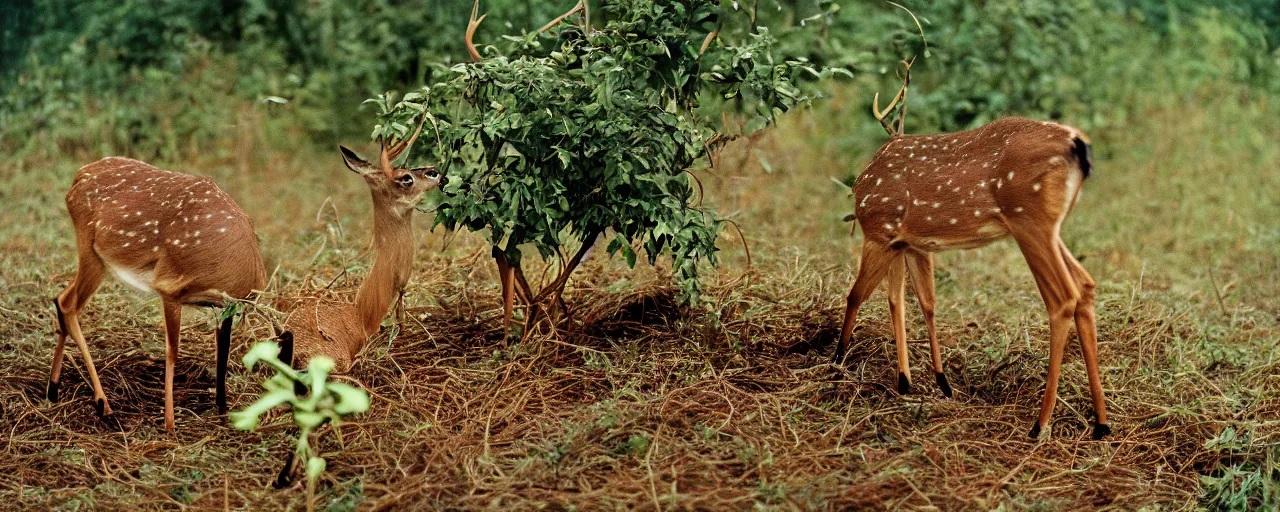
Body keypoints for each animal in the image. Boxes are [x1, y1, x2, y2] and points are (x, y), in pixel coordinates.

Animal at [49, 156, 270, 432]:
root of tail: (78, 176)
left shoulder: (222, 307)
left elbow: (223, 350)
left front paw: (222, 409)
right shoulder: (170, 287)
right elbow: (172, 351)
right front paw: (170, 424)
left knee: (61, 298)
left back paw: (53, 390)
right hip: (91, 250)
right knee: (68, 304)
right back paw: (103, 404)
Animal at [834, 64, 1116, 440]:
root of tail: (1078, 143)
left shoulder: (880, 231)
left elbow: (857, 296)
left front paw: (836, 364)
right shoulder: (909, 243)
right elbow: (915, 301)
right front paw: (919, 382)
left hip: (1029, 220)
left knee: (1062, 298)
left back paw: (1039, 425)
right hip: (1049, 228)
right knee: (1085, 286)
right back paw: (1101, 423)